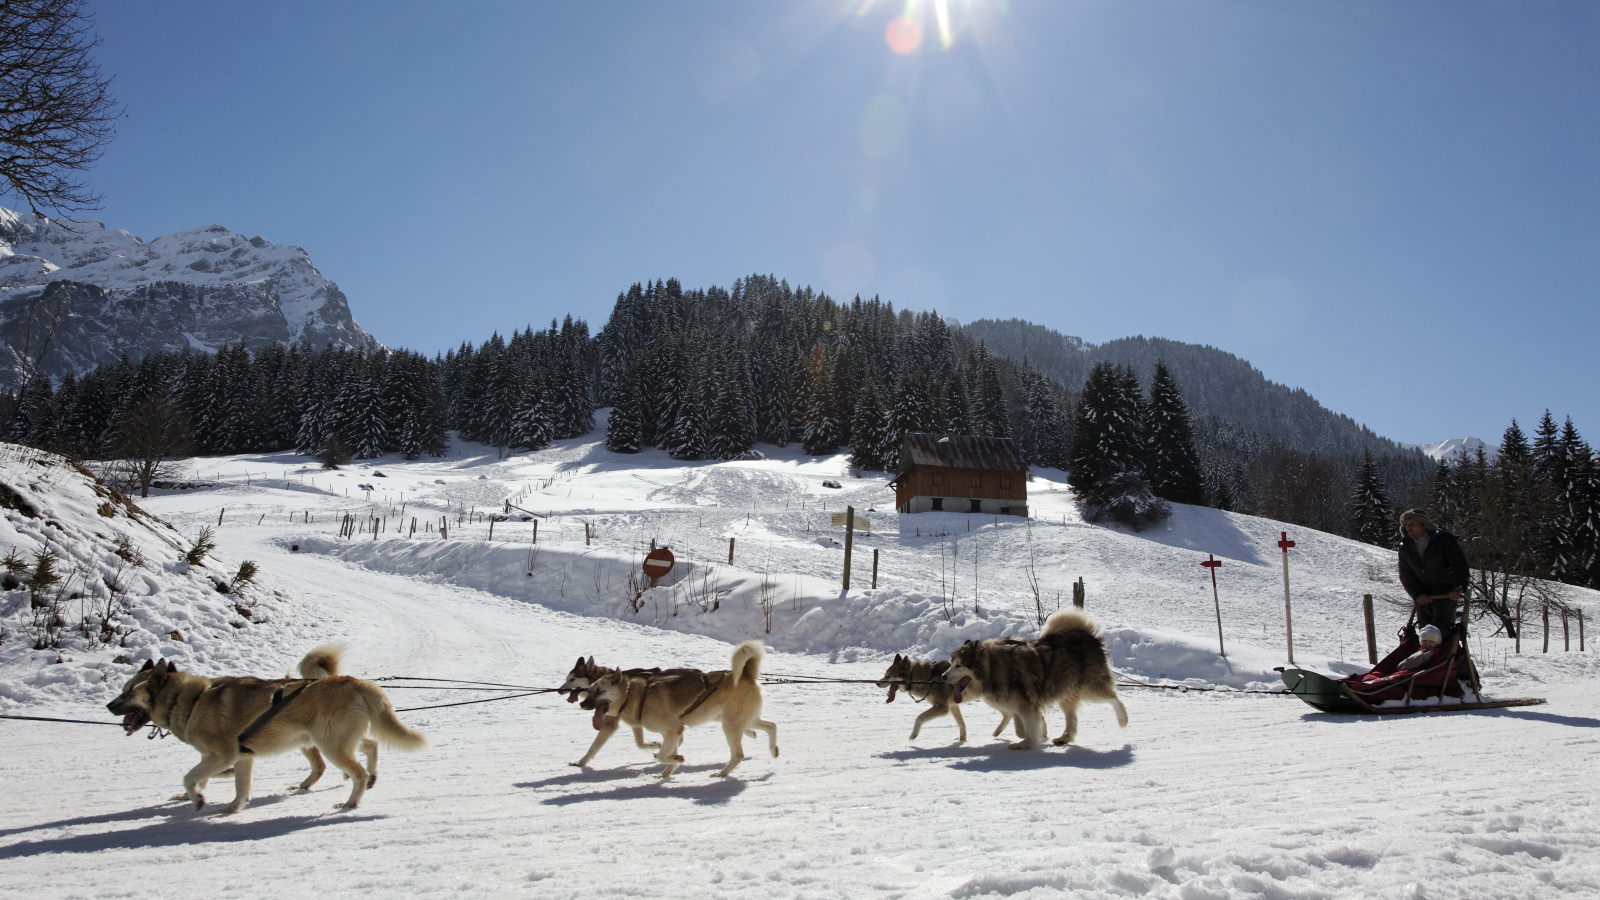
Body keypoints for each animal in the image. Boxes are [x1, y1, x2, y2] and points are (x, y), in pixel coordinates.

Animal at [108, 640, 428, 810]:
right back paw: (368, 777)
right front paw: (231, 807)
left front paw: (198, 800)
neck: (191, 700)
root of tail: (353, 681)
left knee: (354, 770)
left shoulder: (223, 754)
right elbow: (232, 784)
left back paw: (350, 801)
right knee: (370, 747)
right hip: (332, 740)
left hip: (329, 745)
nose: (109, 706)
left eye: (129, 692)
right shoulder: (238, 757)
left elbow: (190, 777)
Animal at [579, 637, 777, 778]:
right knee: (771, 726)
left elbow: (662, 755)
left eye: (599, 691)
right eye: (590, 690)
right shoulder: (671, 733)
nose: (582, 704)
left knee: (738, 755)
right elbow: (664, 754)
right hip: (739, 719)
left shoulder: (674, 730)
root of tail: (746, 674)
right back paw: (773, 750)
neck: (634, 696)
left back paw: (722, 773)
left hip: (729, 725)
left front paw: (676, 759)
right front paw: (667, 771)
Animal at [940, 605, 1132, 746]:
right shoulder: (1019, 704)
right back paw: (1064, 738)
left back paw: (1123, 719)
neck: (992, 668)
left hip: (1090, 687)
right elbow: (1022, 723)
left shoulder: (1025, 705)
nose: (942, 676)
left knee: (1113, 698)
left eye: (958, 665)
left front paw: (1026, 743)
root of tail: (1084, 634)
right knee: (1072, 720)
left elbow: (1030, 727)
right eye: (951, 664)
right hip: (1066, 695)